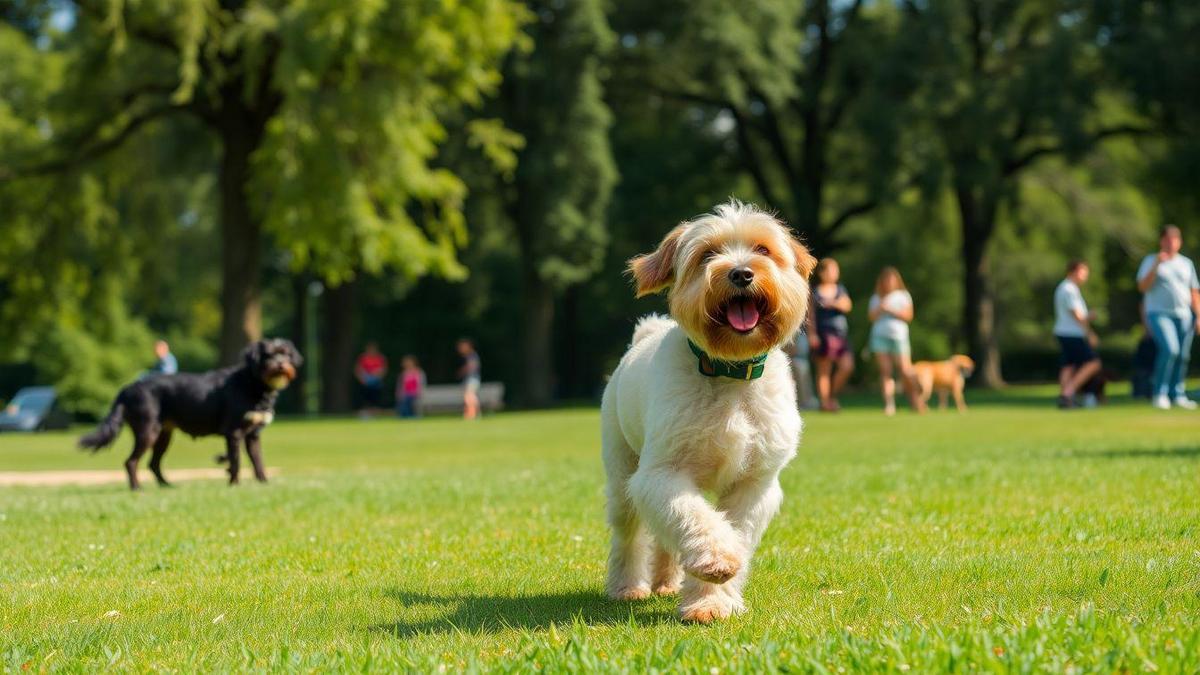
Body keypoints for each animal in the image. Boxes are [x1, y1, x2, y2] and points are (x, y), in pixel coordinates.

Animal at [79, 336, 302, 487]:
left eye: (285, 353)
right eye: (268, 355)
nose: (281, 364)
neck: (253, 383)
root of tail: (128, 388)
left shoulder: (253, 434)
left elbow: (258, 462)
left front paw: (264, 483)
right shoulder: (233, 432)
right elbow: (236, 461)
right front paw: (234, 483)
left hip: (163, 436)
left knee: (153, 464)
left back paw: (167, 486)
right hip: (147, 431)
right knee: (131, 462)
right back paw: (137, 488)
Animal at [600, 198, 816, 619]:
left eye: (763, 249)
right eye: (707, 254)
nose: (742, 273)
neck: (729, 373)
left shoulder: (755, 484)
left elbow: (734, 531)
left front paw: (711, 601)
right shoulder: (661, 473)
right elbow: (693, 517)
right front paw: (717, 562)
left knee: (664, 536)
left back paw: (667, 582)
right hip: (621, 472)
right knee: (629, 533)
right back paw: (627, 586)